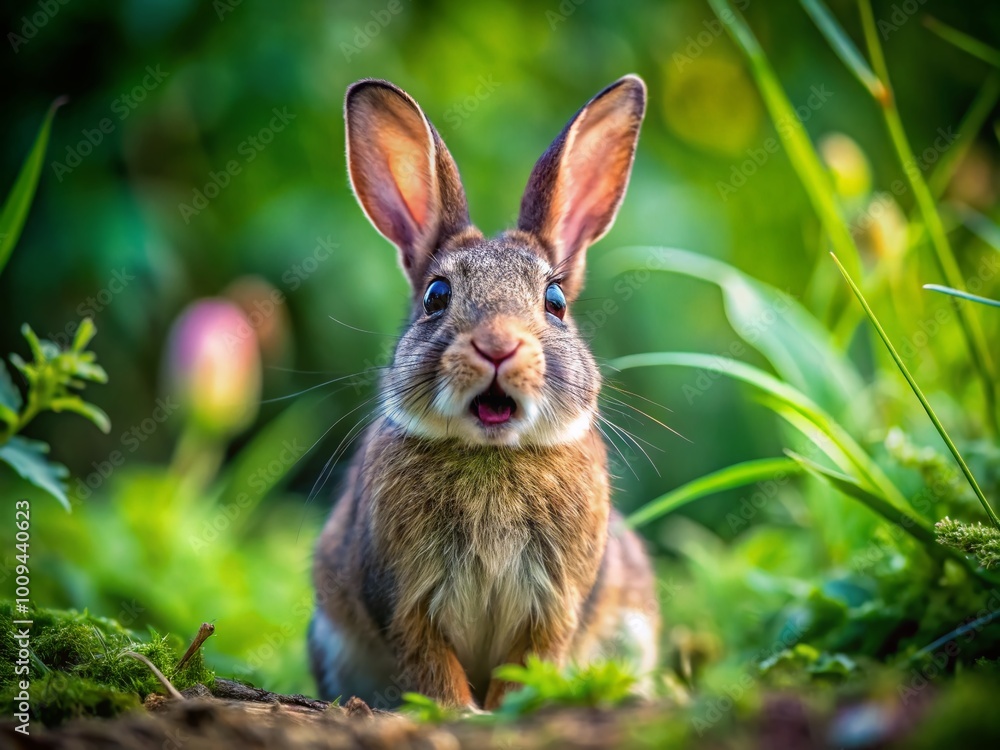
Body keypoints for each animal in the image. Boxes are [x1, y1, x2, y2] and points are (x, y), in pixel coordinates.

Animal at [309, 74, 659, 711]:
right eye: (436, 296)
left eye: (555, 302)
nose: (498, 346)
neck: (491, 456)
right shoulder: (404, 600)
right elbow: (429, 662)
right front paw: (461, 714)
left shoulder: (555, 605)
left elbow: (530, 659)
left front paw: (507, 710)